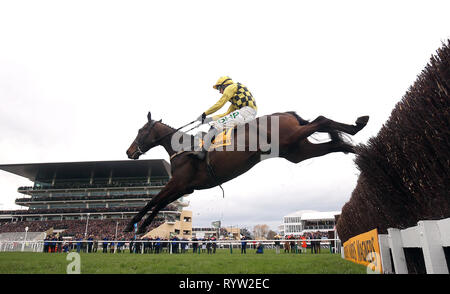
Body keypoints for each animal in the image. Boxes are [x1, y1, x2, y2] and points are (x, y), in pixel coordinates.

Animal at [125, 111, 368, 234]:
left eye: (140, 131)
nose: (129, 152)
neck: (182, 148)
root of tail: (285, 113)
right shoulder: (185, 187)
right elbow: (160, 203)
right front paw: (143, 225)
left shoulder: (177, 183)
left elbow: (154, 200)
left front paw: (132, 224)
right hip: (297, 151)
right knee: (333, 143)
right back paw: (358, 145)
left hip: (289, 138)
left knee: (321, 120)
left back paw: (358, 126)